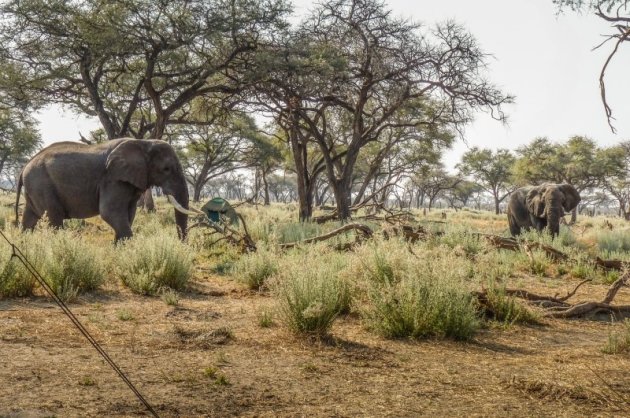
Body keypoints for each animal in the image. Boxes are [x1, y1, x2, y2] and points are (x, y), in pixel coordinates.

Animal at [16, 138, 194, 240]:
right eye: (166, 169)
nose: (181, 244)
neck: (143, 142)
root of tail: (24, 167)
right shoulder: (112, 178)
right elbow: (109, 212)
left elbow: (129, 214)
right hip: (41, 184)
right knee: (54, 218)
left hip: (34, 187)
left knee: (29, 218)